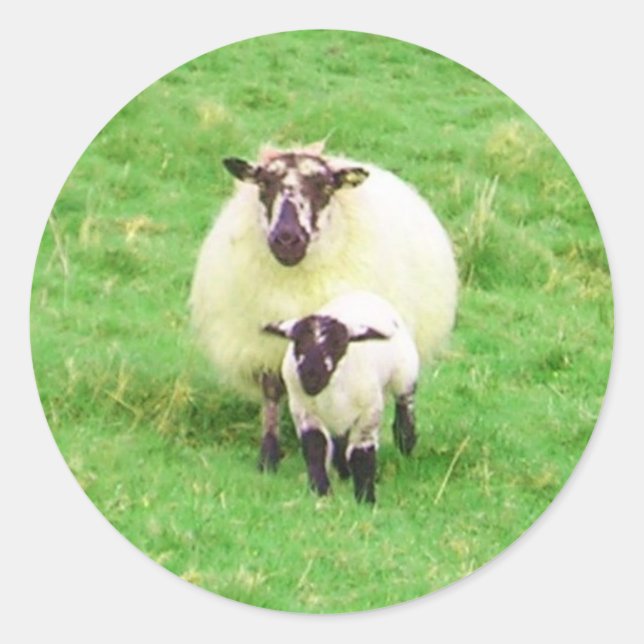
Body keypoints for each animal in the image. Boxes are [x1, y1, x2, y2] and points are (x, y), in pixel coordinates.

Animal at [189, 141, 458, 471]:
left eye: (324, 186)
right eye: (264, 183)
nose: (286, 239)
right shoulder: (265, 348)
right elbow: (271, 395)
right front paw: (269, 456)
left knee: (404, 391)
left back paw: (404, 438)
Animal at [263, 291, 419, 503]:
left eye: (338, 344)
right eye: (298, 343)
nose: (311, 376)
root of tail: (361, 293)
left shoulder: (369, 413)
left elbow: (362, 454)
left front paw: (365, 499)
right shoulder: (303, 411)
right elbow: (315, 446)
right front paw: (322, 491)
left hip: (405, 374)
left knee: (405, 403)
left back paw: (405, 439)